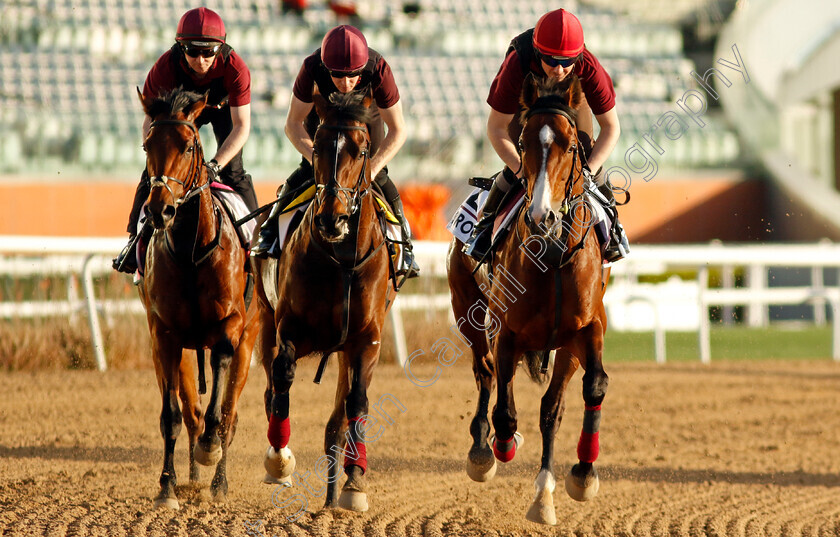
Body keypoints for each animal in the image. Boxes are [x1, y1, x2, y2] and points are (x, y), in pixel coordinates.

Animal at [136, 87, 260, 506]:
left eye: (188, 145)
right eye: (147, 145)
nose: (159, 209)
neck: (191, 251)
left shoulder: (231, 326)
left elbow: (219, 410)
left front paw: (210, 449)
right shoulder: (163, 335)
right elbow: (171, 416)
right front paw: (167, 485)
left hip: (251, 339)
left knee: (230, 413)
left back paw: (218, 481)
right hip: (187, 351)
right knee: (190, 413)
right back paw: (190, 477)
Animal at [253, 88, 394, 510]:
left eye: (361, 150)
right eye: (317, 147)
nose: (332, 219)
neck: (341, 261)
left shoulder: (366, 340)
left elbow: (356, 403)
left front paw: (355, 483)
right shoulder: (289, 328)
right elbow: (281, 381)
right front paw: (279, 461)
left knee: (338, 416)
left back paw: (336, 488)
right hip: (264, 318)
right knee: (270, 389)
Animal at [446, 75, 612, 524]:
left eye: (571, 146)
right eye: (522, 143)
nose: (542, 216)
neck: (551, 257)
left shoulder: (587, 329)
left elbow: (591, 388)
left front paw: (582, 475)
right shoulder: (507, 333)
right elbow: (504, 411)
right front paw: (502, 446)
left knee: (550, 408)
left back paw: (544, 493)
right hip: (467, 313)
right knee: (485, 373)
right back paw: (483, 451)